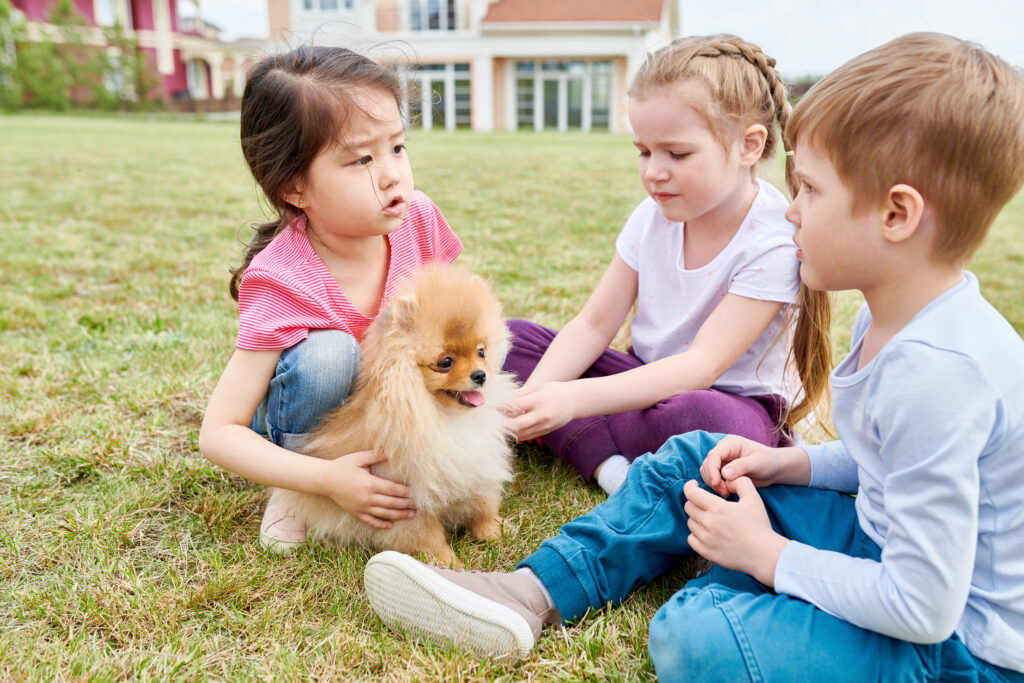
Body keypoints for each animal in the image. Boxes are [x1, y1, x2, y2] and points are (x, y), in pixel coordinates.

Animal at [272, 264, 516, 569]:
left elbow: (483, 506)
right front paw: (448, 564)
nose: (480, 375)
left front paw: (495, 532)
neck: (442, 416)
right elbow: (428, 536)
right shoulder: (408, 498)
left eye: (481, 352)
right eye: (445, 362)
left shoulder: (477, 468)